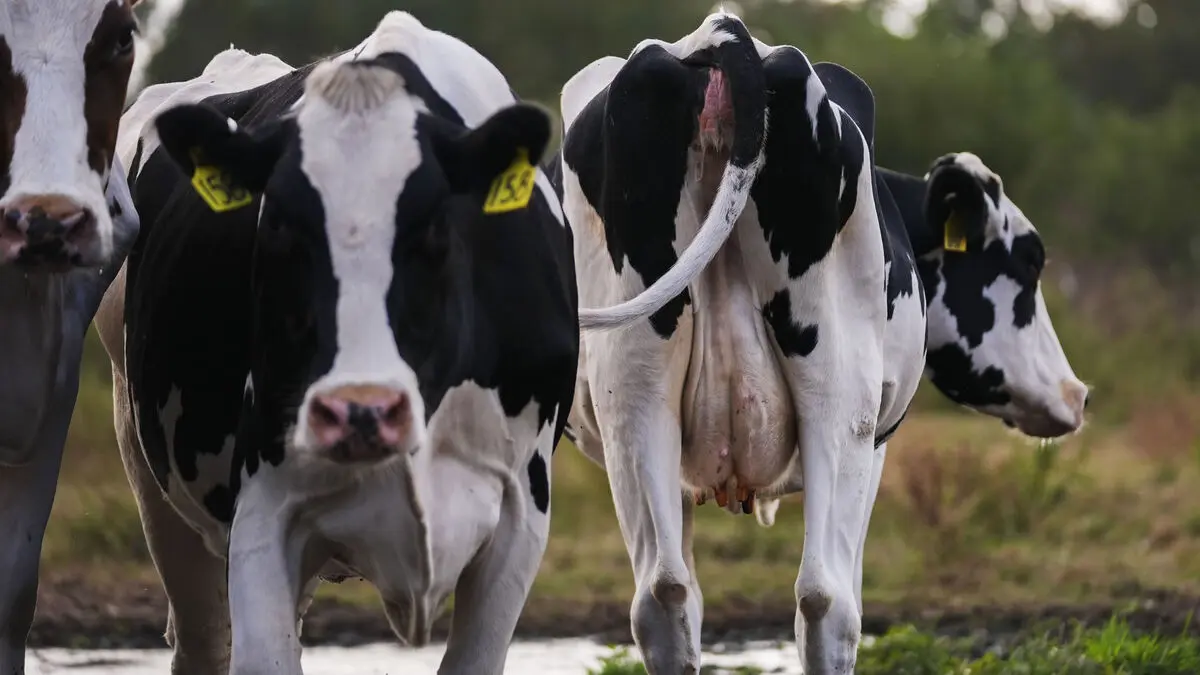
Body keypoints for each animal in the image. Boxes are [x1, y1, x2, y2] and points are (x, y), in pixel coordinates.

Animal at [93, 11, 578, 675]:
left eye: (435, 226)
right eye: (276, 223)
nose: (359, 411)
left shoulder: (522, 513)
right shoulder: (262, 510)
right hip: (152, 480)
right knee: (202, 639)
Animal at [551, 12, 1088, 674]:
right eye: (1031, 261)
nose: (1076, 394)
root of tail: (721, 35)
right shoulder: (877, 439)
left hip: (634, 393)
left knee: (663, 593)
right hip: (840, 395)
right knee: (826, 598)